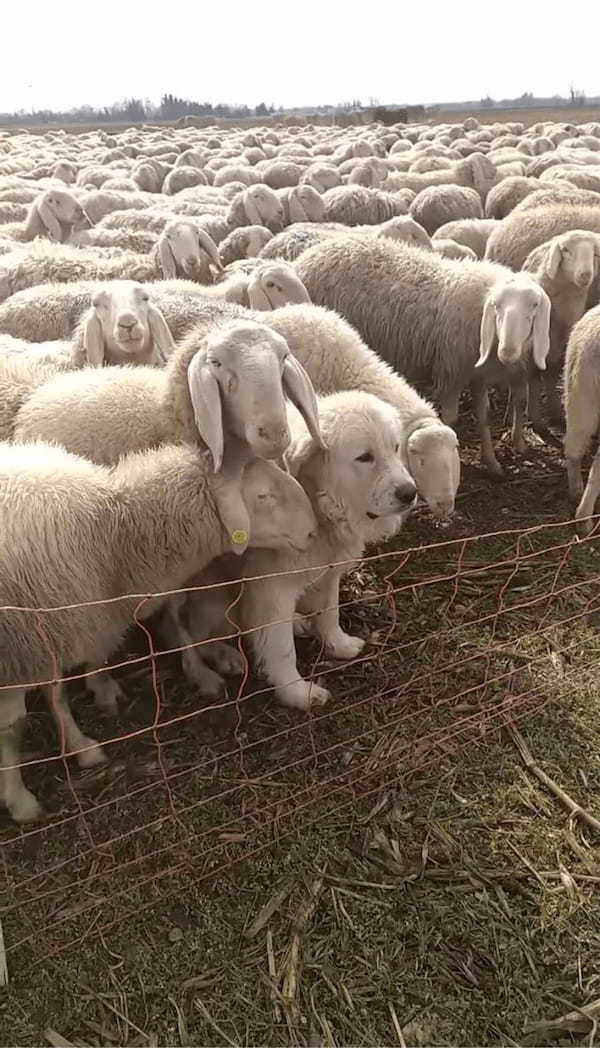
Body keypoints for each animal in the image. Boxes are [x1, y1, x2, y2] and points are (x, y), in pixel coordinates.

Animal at [163, 391, 416, 712]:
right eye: (364, 457)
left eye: (395, 448)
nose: (410, 493)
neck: (317, 502)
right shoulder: (272, 589)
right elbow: (282, 649)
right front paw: (296, 692)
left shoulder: (327, 571)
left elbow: (329, 611)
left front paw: (338, 644)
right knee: (184, 637)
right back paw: (221, 659)